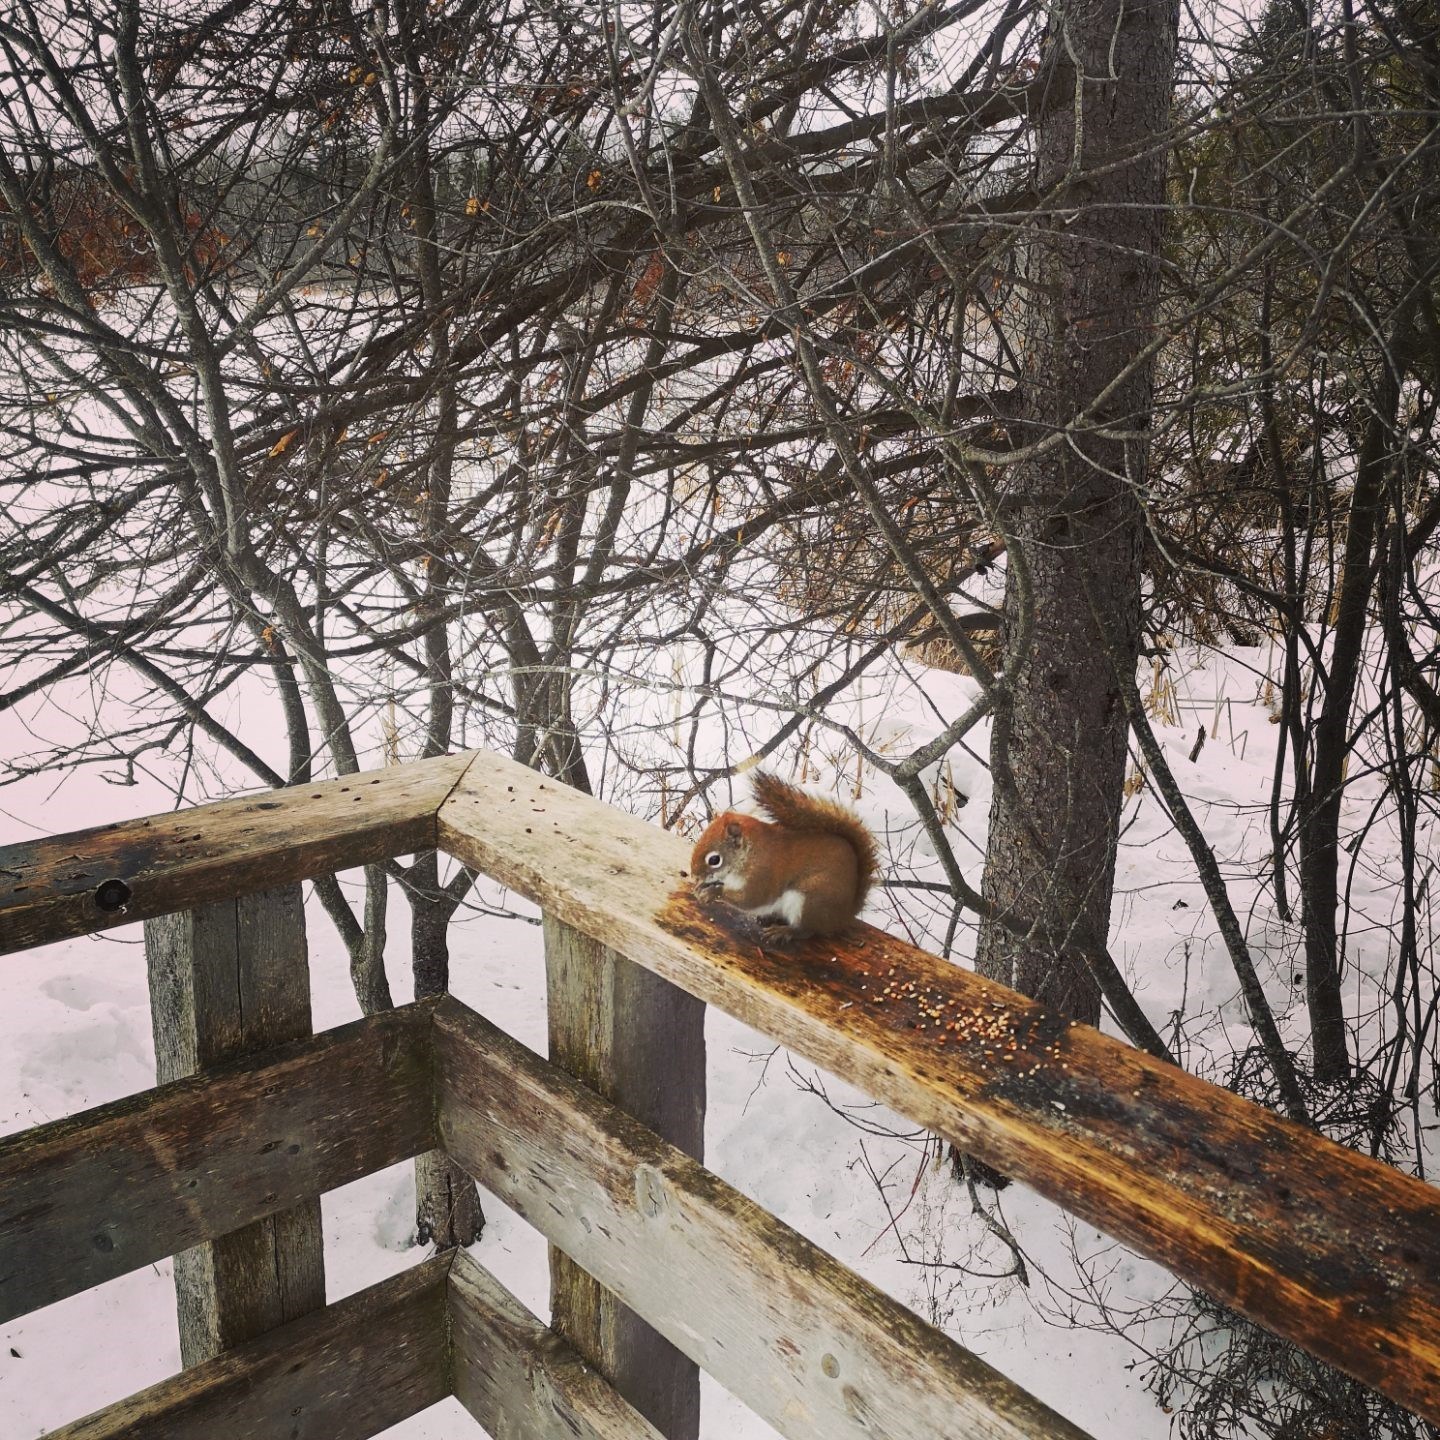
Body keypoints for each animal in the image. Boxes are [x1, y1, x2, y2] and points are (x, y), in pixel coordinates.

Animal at [688, 771, 875, 938]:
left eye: (714, 859)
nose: (694, 876)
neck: (749, 855)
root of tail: (845, 915)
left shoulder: (763, 876)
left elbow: (750, 899)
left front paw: (713, 893)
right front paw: (701, 887)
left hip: (810, 902)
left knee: (807, 931)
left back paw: (784, 932)